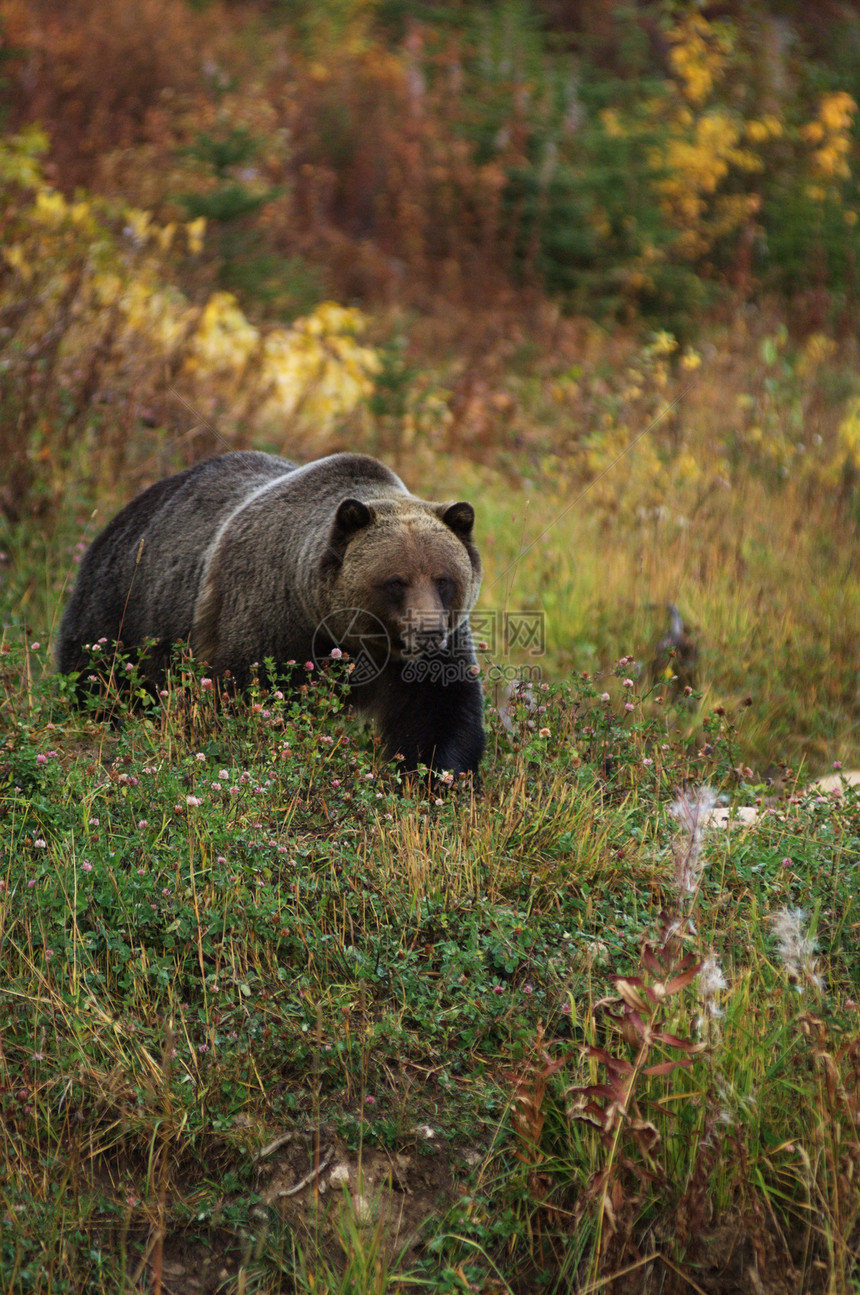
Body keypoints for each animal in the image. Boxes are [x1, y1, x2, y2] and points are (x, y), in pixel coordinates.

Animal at [56, 453, 486, 771]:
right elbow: (253, 699)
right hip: (122, 608)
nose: (428, 631)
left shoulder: (432, 654)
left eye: (443, 578)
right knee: (99, 677)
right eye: (395, 581)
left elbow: (440, 711)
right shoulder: (269, 621)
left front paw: (437, 776)